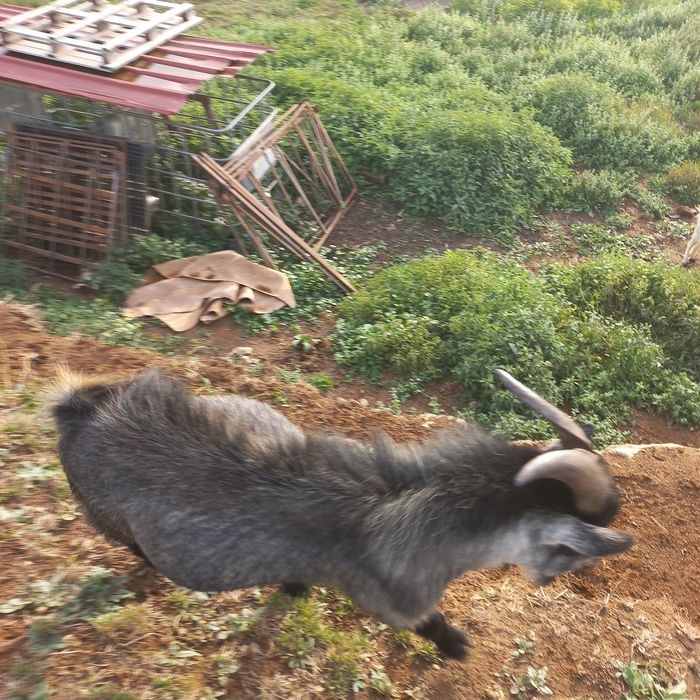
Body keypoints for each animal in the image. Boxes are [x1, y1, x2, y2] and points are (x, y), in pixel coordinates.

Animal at [50, 368, 633, 660]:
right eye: (573, 553)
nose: (555, 583)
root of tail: (80, 410)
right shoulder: (397, 602)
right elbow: (430, 624)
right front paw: (456, 647)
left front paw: (294, 589)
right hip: (107, 519)